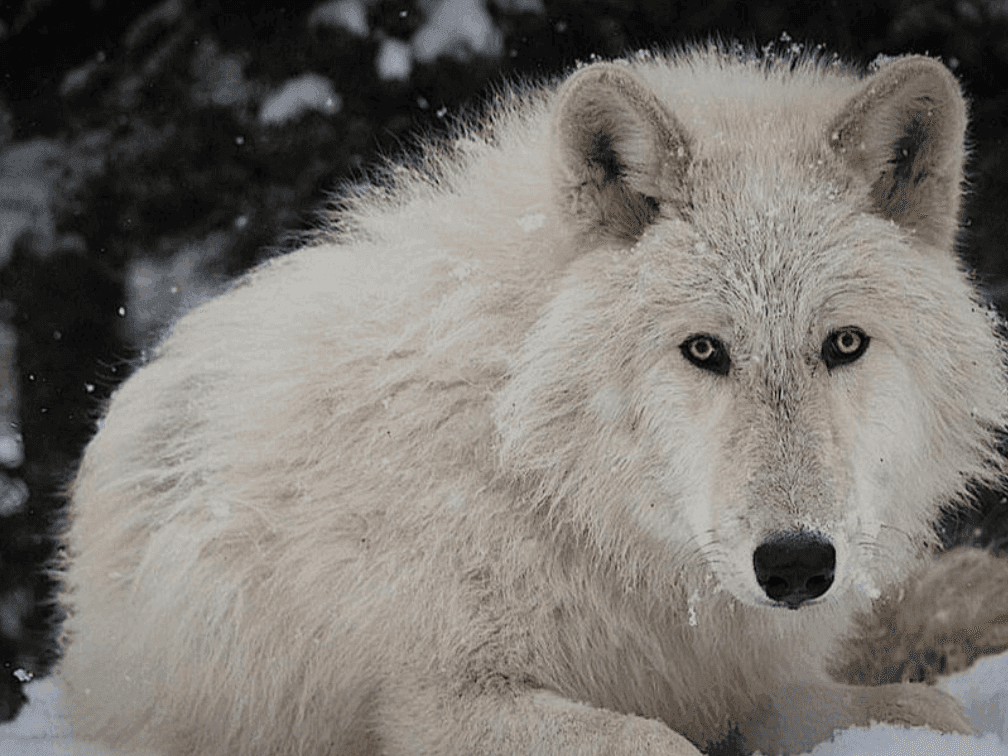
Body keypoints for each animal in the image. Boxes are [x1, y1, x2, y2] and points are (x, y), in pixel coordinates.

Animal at [58, 44, 1008, 753]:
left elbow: (932, 709)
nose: (797, 566)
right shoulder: (439, 701)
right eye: (704, 349)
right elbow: (656, 741)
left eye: (844, 344)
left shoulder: (732, 680)